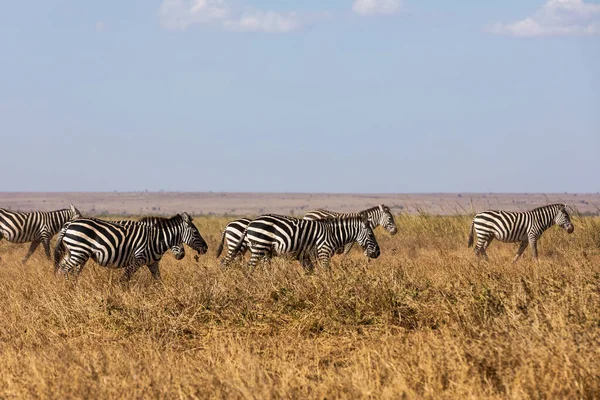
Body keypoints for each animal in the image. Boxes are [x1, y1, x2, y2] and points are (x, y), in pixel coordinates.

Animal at [54, 212, 209, 282]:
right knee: (63, 269)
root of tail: (69, 223)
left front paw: (163, 295)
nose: (206, 248)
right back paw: (64, 289)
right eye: (195, 232)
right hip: (78, 251)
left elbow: (159, 281)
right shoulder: (137, 259)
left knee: (65, 268)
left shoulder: (153, 263)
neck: (156, 239)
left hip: (75, 252)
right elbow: (124, 279)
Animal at [230, 214, 380, 270]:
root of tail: (250, 223)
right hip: (259, 246)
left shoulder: (307, 257)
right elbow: (327, 271)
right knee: (250, 267)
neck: (333, 234)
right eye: (371, 234)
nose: (378, 253)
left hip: (265, 251)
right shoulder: (324, 252)